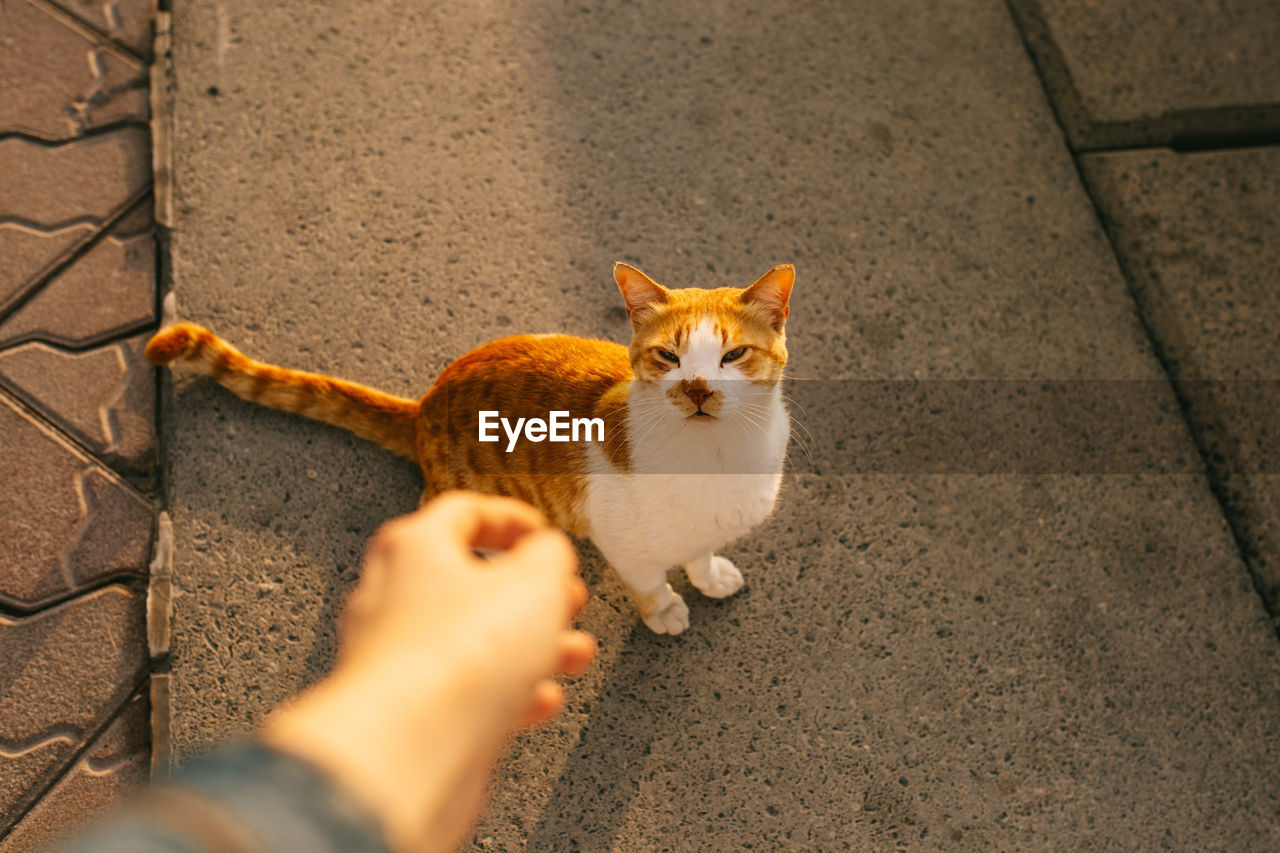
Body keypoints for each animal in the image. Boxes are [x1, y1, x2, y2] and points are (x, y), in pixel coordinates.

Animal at [147, 261, 788, 630]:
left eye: (733, 355)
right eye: (668, 357)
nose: (698, 390)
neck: (716, 460)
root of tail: (425, 406)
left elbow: (699, 551)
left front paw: (709, 577)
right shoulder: (621, 540)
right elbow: (649, 582)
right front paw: (666, 610)